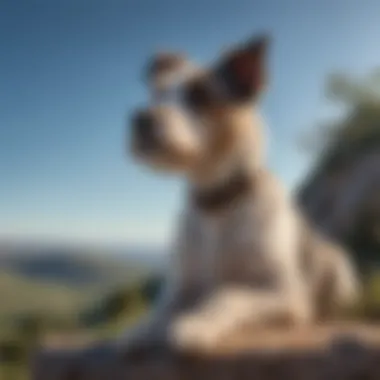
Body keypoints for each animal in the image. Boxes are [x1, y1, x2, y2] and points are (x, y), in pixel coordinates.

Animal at [117, 33, 360, 354]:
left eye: (201, 95)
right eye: (157, 94)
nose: (140, 119)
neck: (217, 204)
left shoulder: (285, 293)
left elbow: (229, 294)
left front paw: (197, 324)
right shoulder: (181, 287)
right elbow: (160, 311)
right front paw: (140, 331)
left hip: (335, 265)